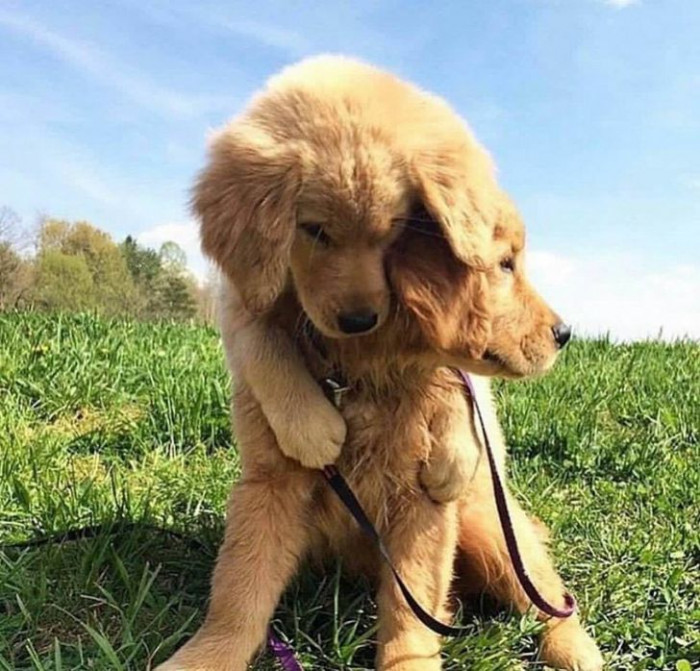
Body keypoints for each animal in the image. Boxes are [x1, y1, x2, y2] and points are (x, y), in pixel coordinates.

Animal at [157, 55, 600, 668]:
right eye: (314, 231)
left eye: (392, 232)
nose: (564, 333)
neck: (363, 370)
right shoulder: (270, 483)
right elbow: (240, 590)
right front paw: (208, 654)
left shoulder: (424, 502)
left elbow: (412, 608)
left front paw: (410, 660)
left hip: (493, 530)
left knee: (548, 594)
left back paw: (573, 645)